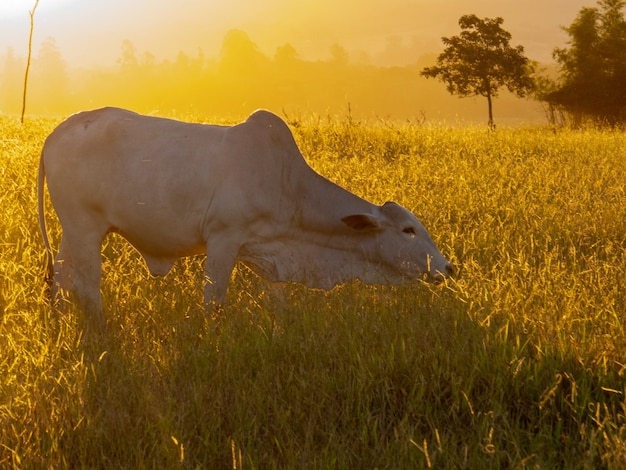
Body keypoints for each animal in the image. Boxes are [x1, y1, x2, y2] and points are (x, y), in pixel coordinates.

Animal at [36, 106, 450, 320]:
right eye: (409, 230)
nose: (448, 268)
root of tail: (58, 132)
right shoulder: (223, 239)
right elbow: (214, 302)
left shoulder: (271, 256)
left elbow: (278, 304)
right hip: (85, 228)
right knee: (88, 288)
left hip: (71, 232)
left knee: (62, 280)